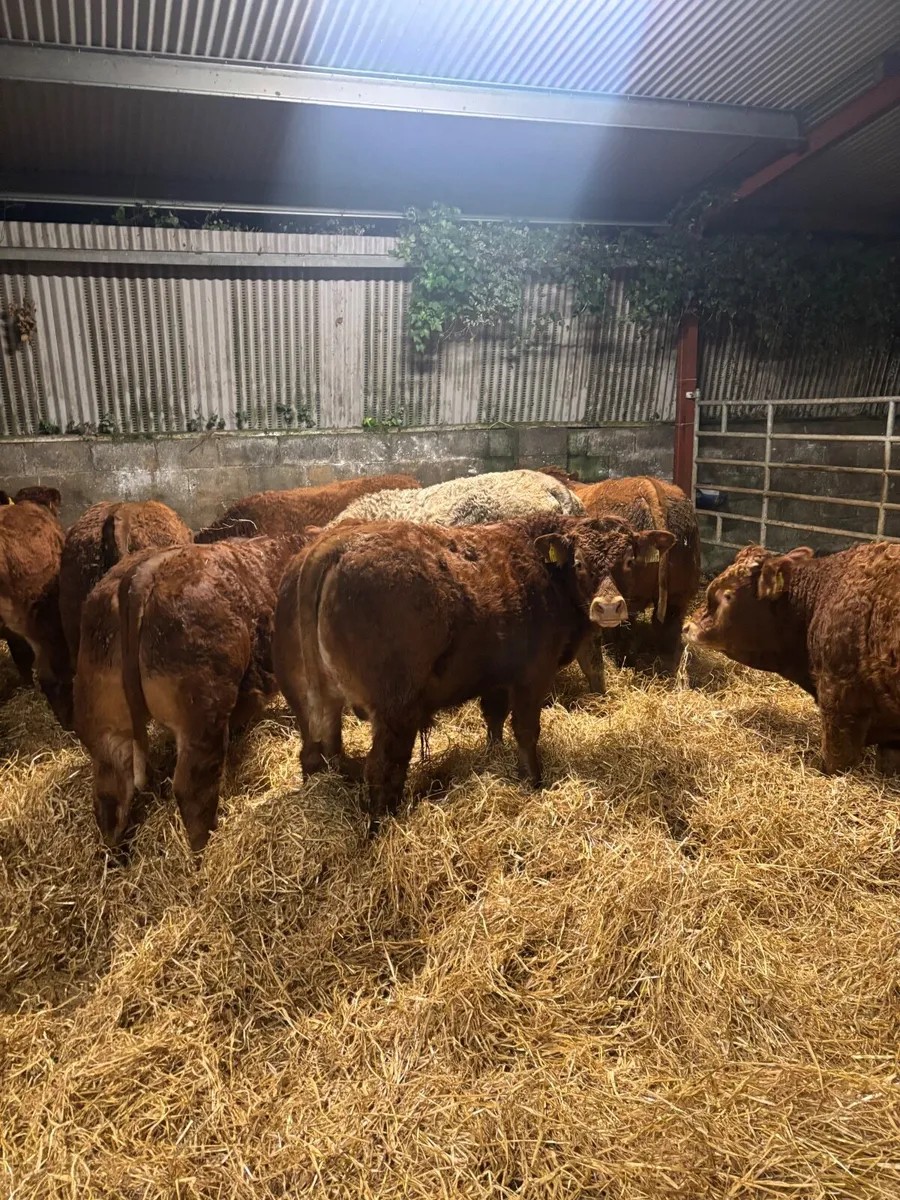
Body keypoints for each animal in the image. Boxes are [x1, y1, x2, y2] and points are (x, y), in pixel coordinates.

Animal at [276, 515, 675, 829]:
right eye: (578, 563)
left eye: (629, 559)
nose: (608, 607)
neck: (542, 574)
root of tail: (331, 546)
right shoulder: (532, 675)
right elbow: (525, 730)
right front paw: (534, 781)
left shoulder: (494, 678)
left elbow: (493, 718)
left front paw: (493, 756)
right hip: (395, 709)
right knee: (382, 769)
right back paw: (382, 829)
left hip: (310, 702)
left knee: (318, 756)